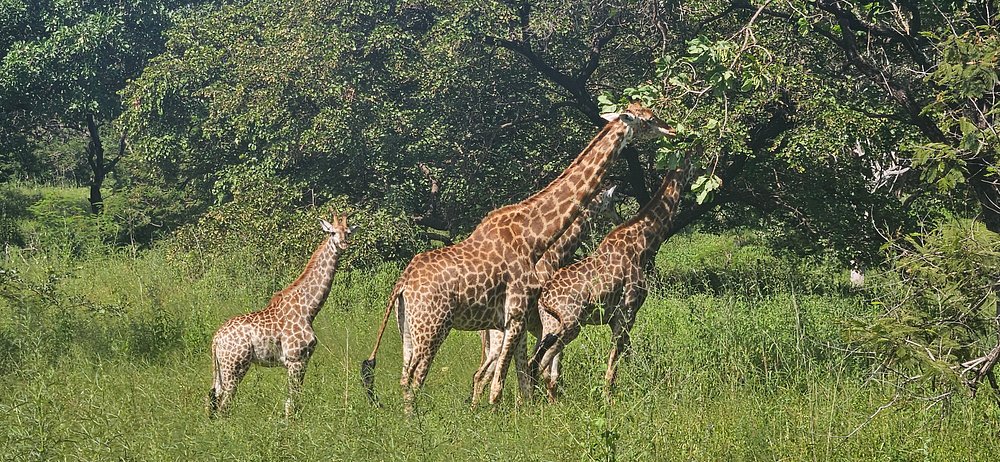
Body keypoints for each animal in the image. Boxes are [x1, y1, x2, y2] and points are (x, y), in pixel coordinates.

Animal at [208, 214, 355, 418]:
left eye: (348, 232)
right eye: (332, 232)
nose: (343, 244)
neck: (309, 310)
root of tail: (216, 339)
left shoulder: (302, 360)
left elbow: (294, 400)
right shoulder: (295, 359)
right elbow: (292, 402)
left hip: (222, 367)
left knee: (214, 399)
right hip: (235, 366)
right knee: (224, 404)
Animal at [471, 184, 621, 403]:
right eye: (611, 202)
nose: (618, 218)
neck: (555, 253)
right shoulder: (548, 326)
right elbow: (548, 370)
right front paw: (549, 403)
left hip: (493, 339)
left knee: (480, 373)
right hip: (499, 336)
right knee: (484, 373)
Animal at [528, 160, 690, 402]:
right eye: (612, 201)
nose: (616, 218)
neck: (642, 243)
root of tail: (545, 298)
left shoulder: (617, 318)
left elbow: (628, 354)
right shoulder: (627, 311)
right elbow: (615, 359)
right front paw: (608, 399)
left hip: (549, 324)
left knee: (533, 363)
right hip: (569, 325)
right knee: (541, 365)